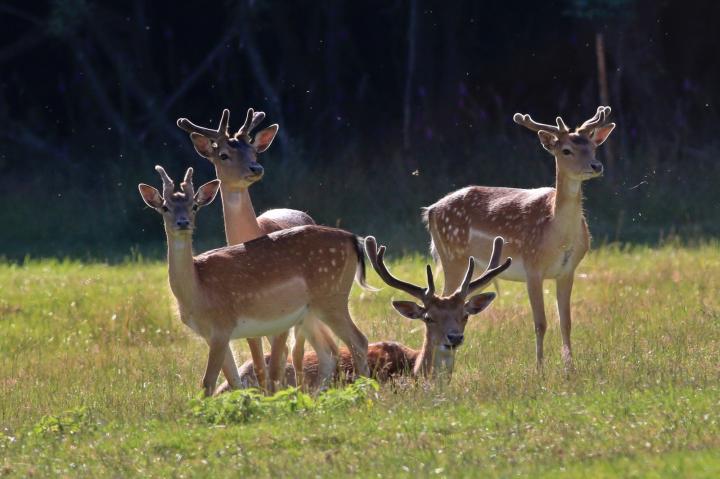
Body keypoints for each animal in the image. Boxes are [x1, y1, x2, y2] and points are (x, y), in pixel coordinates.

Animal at [139, 166, 372, 398]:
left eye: (194, 206)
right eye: (165, 207)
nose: (183, 222)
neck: (198, 292)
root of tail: (353, 239)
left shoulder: (222, 326)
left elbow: (208, 383)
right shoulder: (209, 334)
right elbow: (233, 381)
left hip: (331, 296)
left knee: (359, 342)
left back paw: (367, 395)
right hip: (311, 311)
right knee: (328, 352)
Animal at [176, 109, 336, 394]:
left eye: (254, 151)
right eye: (223, 154)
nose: (256, 168)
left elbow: (276, 364)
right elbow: (261, 367)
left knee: (299, 353)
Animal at [424, 107, 616, 372]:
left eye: (593, 146)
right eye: (566, 150)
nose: (596, 165)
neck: (558, 236)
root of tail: (430, 211)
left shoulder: (567, 270)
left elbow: (566, 322)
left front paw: (570, 369)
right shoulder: (532, 266)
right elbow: (540, 323)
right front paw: (540, 370)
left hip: (477, 271)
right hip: (453, 257)